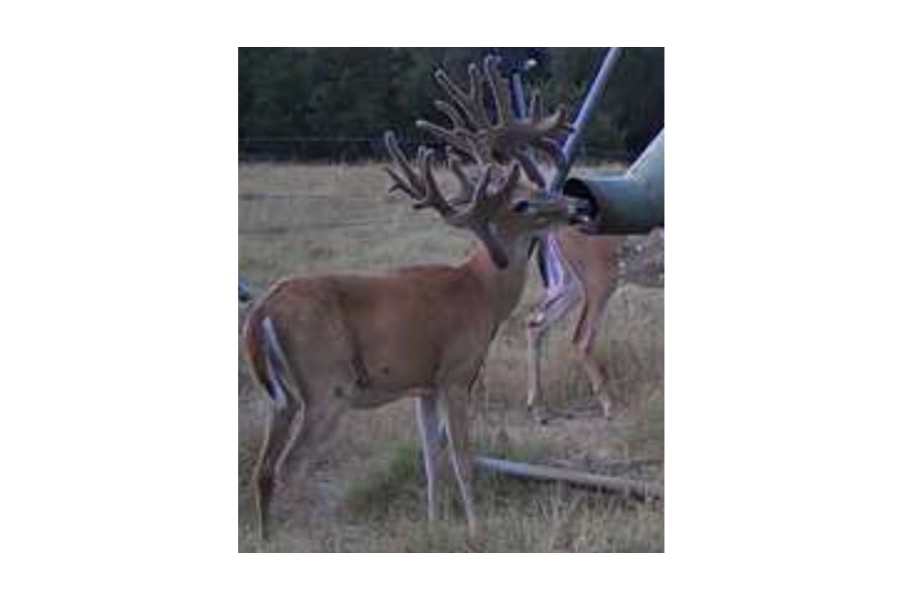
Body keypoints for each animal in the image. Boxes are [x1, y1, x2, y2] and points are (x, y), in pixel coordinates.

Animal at [241, 56, 593, 545]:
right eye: (522, 203)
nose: (576, 207)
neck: (479, 290)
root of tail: (261, 313)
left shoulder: (422, 385)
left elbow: (429, 459)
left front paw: (432, 525)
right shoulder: (457, 372)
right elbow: (462, 459)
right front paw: (475, 532)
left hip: (282, 399)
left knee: (262, 470)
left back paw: (265, 539)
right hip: (327, 387)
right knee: (289, 470)